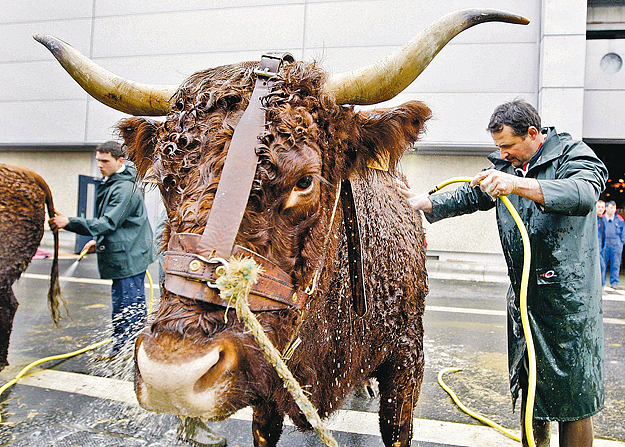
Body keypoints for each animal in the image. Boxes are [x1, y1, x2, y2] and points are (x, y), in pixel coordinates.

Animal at [36, 8, 528, 446]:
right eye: (164, 180)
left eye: (304, 180)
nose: (172, 373)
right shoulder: (266, 392)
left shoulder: (407, 359)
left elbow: (396, 428)